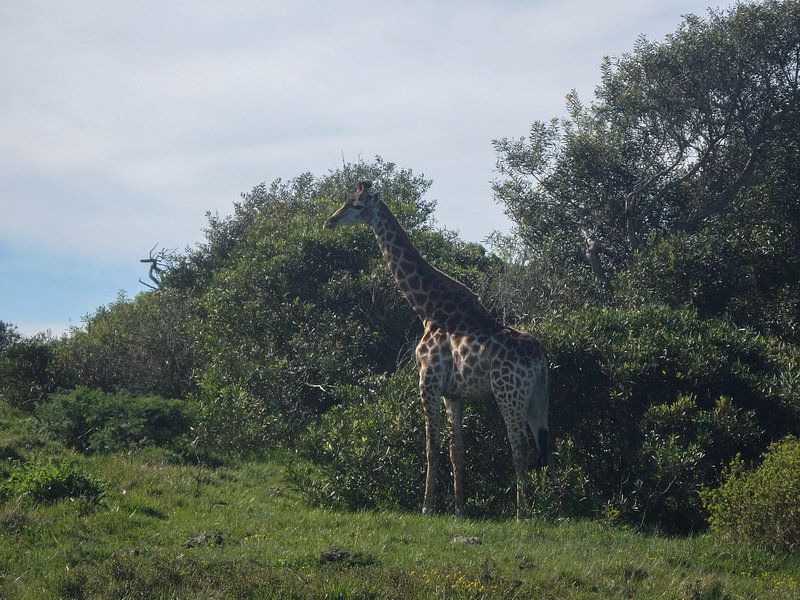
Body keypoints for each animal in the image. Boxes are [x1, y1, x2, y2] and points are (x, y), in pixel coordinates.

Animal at [323, 181, 549, 519]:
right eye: (347, 199)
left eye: (358, 206)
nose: (330, 221)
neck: (426, 308)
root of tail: (540, 359)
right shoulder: (453, 393)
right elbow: (457, 449)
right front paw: (459, 510)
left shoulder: (427, 381)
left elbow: (431, 446)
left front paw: (427, 507)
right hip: (537, 397)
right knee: (544, 446)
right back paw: (552, 508)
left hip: (509, 393)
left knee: (520, 446)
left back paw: (522, 515)